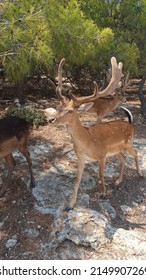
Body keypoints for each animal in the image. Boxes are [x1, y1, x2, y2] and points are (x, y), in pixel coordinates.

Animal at [46, 57, 143, 210]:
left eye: (70, 111)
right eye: (58, 107)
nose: (51, 119)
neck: (87, 143)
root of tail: (130, 124)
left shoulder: (102, 155)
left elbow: (101, 175)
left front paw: (103, 193)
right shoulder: (81, 158)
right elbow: (77, 180)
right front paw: (70, 204)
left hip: (128, 144)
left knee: (136, 153)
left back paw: (139, 174)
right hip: (116, 150)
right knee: (123, 158)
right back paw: (118, 181)